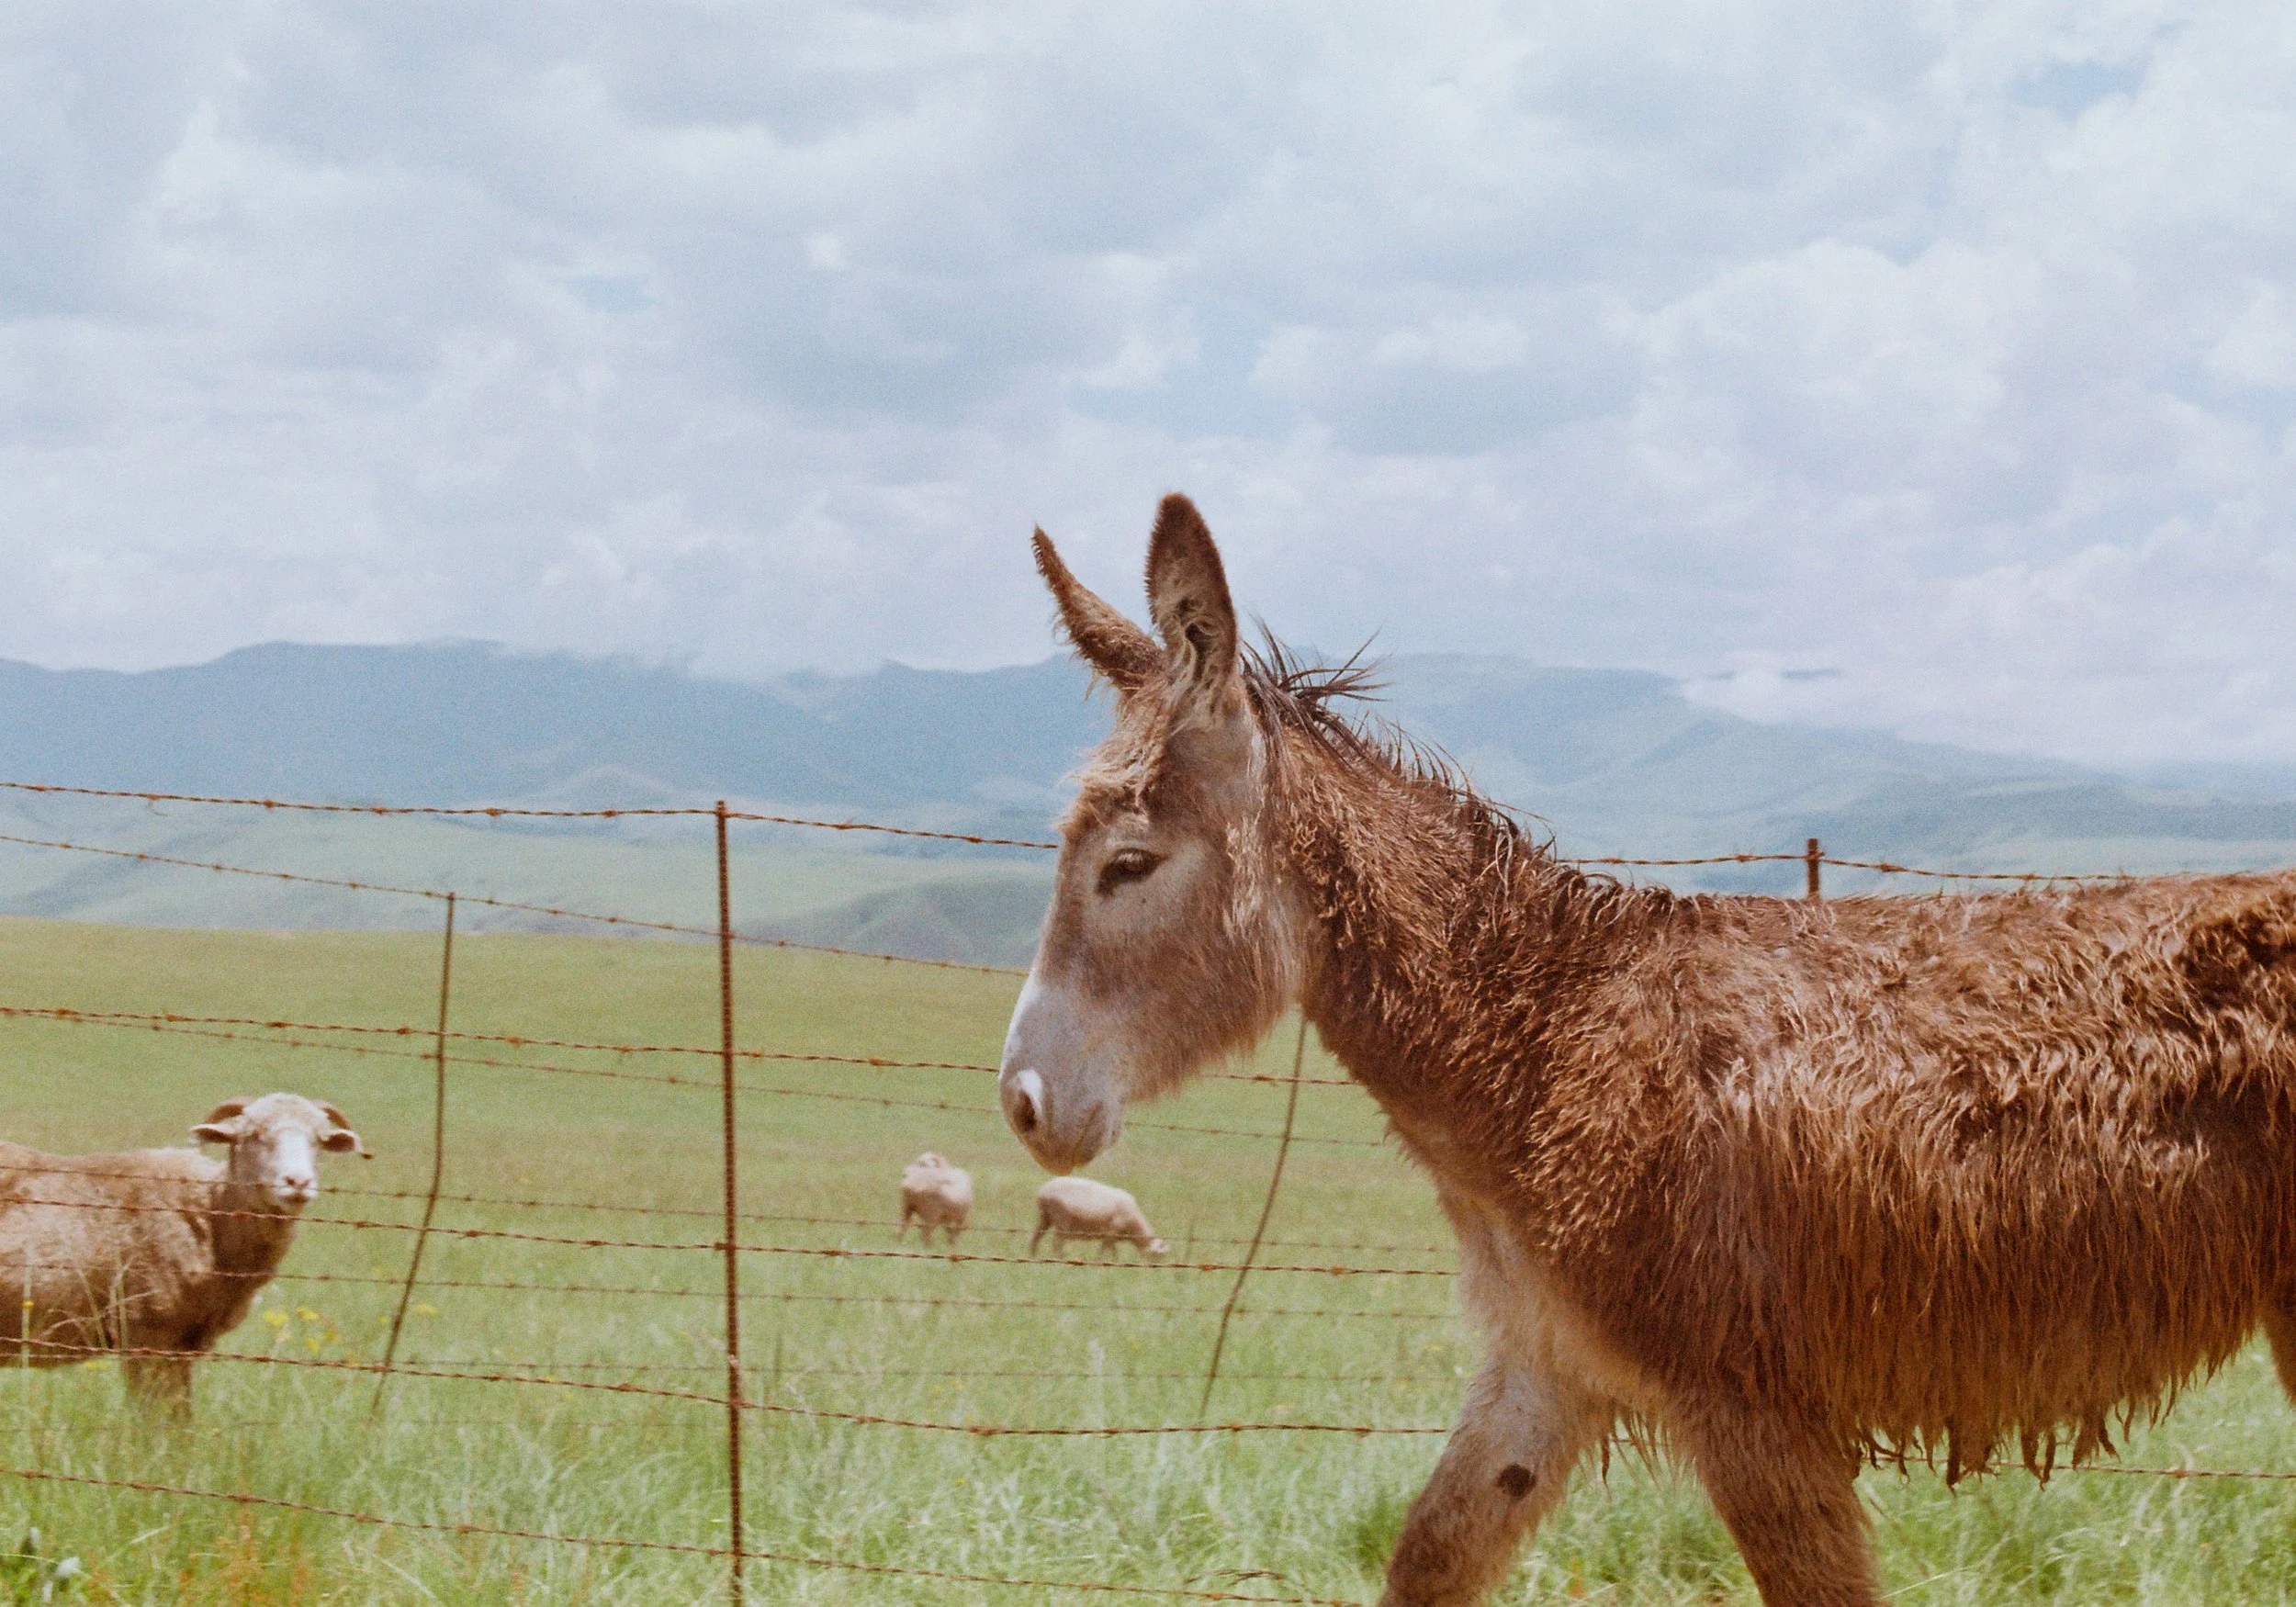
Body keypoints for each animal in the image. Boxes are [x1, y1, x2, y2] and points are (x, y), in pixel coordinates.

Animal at [995, 493, 2296, 1606]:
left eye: (1127, 865)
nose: (1020, 1103)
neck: (1542, 1037)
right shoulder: (1542, 1372)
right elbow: (1429, 1557)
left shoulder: (1751, 1409)